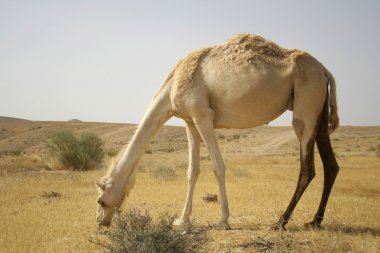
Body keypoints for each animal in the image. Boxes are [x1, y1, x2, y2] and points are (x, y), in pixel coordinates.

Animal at [96, 32, 340, 230]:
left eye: (101, 200)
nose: (100, 222)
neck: (172, 85)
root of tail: (325, 70)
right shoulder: (190, 121)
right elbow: (192, 170)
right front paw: (182, 219)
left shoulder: (203, 114)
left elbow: (217, 166)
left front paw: (223, 220)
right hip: (319, 110)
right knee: (331, 164)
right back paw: (314, 221)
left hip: (306, 102)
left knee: (307, 166)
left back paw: (280, 221)